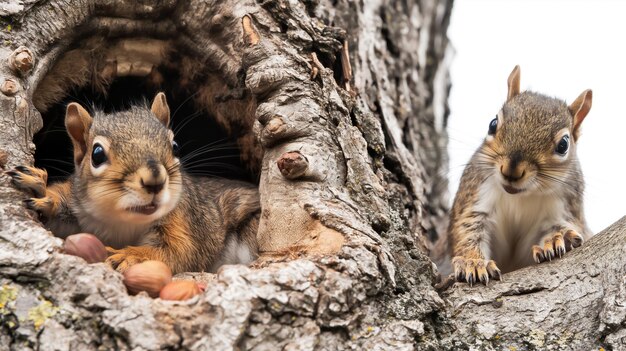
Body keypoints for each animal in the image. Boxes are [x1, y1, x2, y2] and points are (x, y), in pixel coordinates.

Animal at [5, 93, 258, 276]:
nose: (155, 180)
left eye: (175, 146)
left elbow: (179, 252)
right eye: (97, 154)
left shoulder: (189, 223)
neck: (122, 221)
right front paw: (42, 190)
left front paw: (132, 256)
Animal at [448, 66, 588, 286]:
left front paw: (558, 238)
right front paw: (474, 262)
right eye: (492, 124)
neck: (520, 197)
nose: (510, 171)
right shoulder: (477, 198)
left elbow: (556, 227)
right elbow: (469, 231)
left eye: (563, 145)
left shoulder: (563, 207)